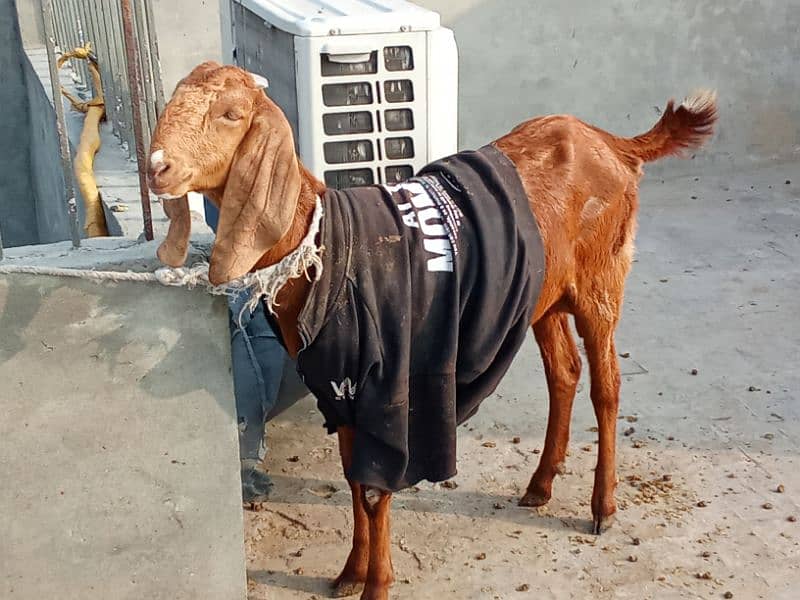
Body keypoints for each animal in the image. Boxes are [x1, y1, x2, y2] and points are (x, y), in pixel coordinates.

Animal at [148, 62, 720, 600]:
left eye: (231, 114)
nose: (158, 167)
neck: (325, 246)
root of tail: (611, 142)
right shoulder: (341, 393)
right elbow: (353, 478)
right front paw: (349, 574)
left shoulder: (390, 391)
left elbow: (375, 489)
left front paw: (376, 586)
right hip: (542, 293)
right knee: (565, 371)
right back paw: (540, 485)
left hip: (602, 279)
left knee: (607, 384)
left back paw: (603, 507)